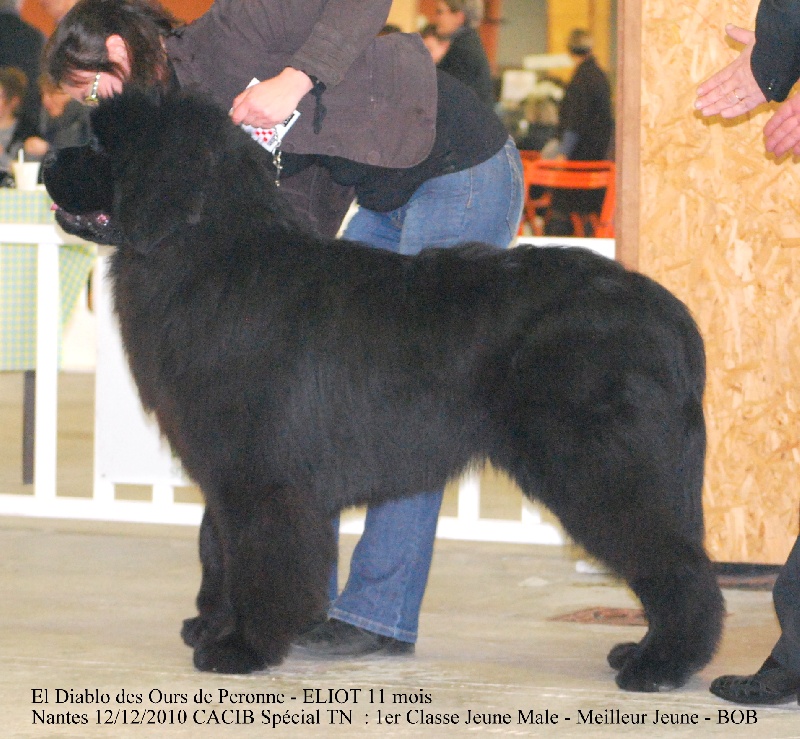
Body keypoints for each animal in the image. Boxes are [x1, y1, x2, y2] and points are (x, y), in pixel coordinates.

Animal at [43, 89, 724, 692]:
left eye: (101, 144)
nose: (47, 161)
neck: (206, 254)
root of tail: (668, 313)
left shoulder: (261, 476)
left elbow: (257, 559)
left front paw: (240, 647)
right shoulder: (230, 470)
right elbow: (218, 547)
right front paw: (214, 626)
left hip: (603, 469)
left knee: (679, 567)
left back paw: (660, 666)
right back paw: (643, 653)